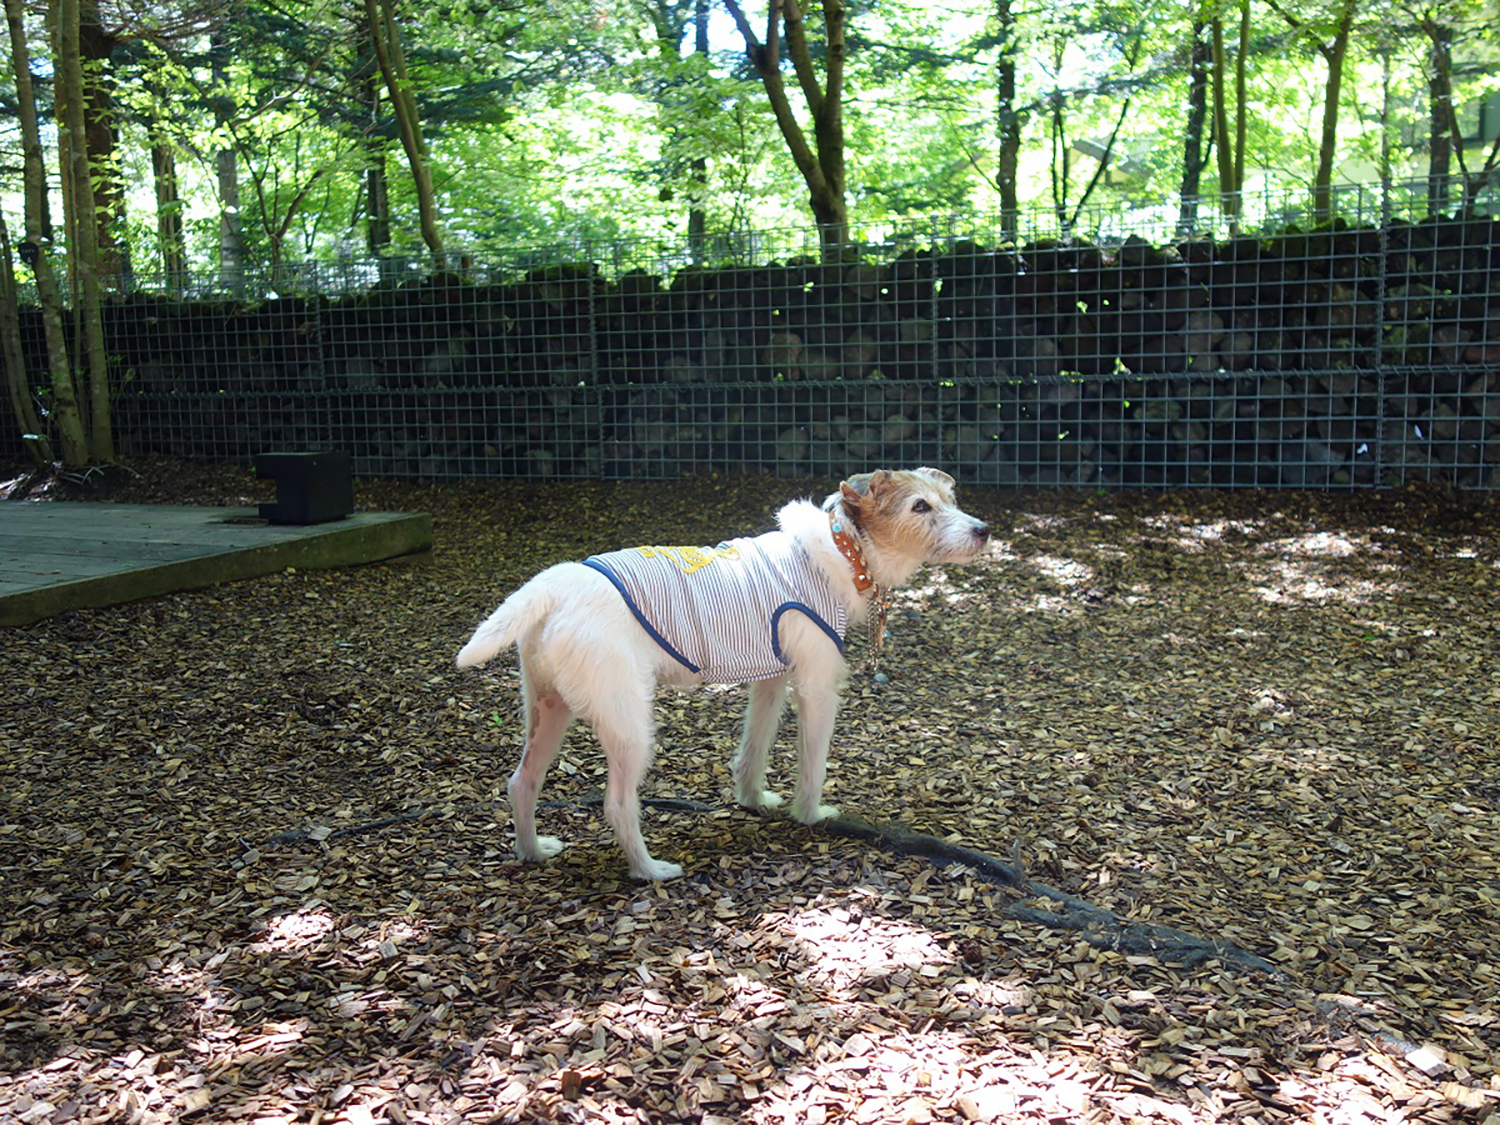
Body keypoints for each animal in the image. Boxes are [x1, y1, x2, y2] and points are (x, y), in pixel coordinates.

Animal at [456, 468, 996, 882]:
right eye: (920, 506)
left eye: (951, 500)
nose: (984, 529)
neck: (844, 548)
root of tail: (555, 583)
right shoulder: (817, 688)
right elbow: (813, 765)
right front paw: (810, 816)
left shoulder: (772, 680)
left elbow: (754, 748)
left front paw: (753, 799)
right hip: (628, 728)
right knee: (616, 804)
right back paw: (649, 870)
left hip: (549, 710)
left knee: (522, 782)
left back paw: (533, 851)